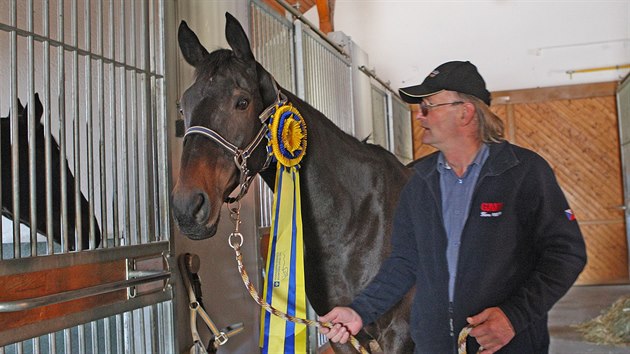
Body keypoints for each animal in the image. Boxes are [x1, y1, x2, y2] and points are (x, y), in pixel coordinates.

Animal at [173, 13, 414, 354]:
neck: (354, 220)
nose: (187, 207)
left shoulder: (400, 333)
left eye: (242, 102)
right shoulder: (339, 332)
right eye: (183, 106)